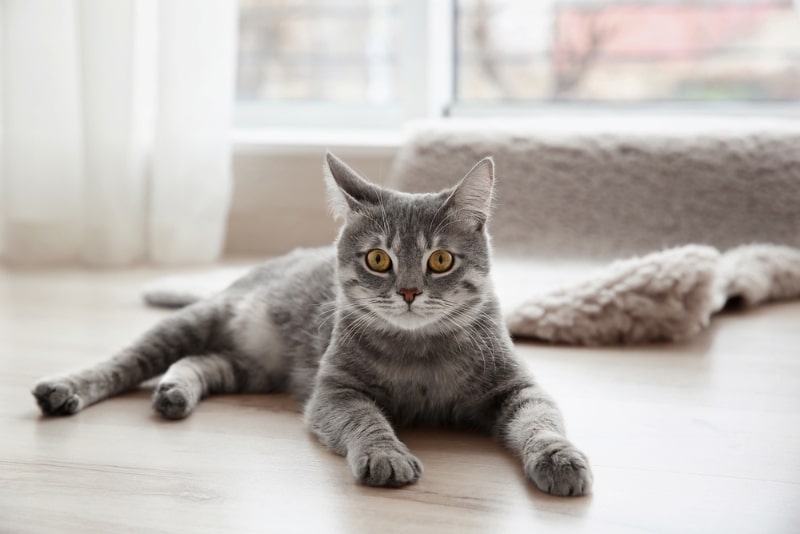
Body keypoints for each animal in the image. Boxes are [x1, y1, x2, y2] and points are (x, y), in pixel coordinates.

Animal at [31, 152, 592, 498]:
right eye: (378, 259)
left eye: (440, 260)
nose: (409, 292)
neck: (420, 355)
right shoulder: (334, 391)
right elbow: (367, 421)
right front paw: (386, 455)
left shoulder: (516, 385)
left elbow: (541, 421)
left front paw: (560, 457)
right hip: (197, 322)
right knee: (125, 360)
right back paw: (65, 388)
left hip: (253, 367)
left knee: (199, 361)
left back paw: (175, 391)